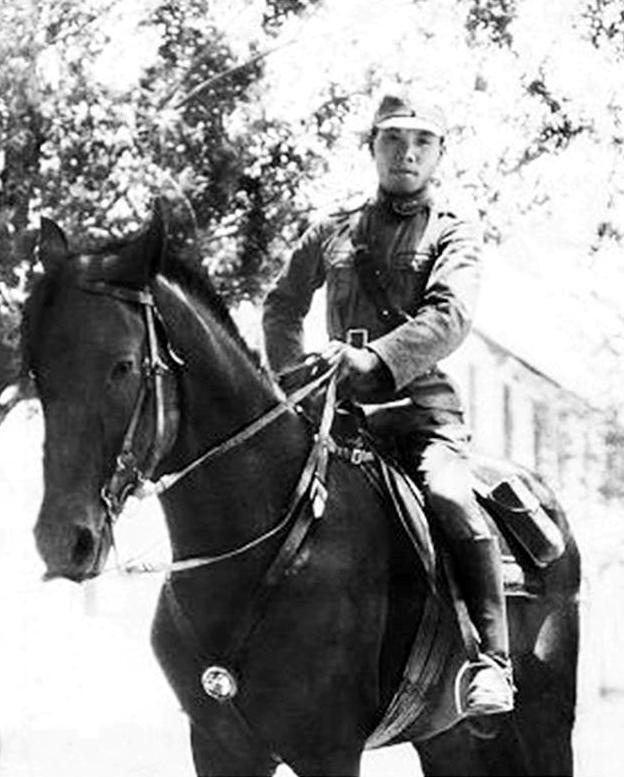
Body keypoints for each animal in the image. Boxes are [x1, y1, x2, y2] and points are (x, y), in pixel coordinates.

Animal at [24, 203, 580, 772]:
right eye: (36, 371)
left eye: (122, 366)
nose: (63, 541)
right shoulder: (218, 746)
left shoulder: (328, 750)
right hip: (450, 738)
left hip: (545, 720)